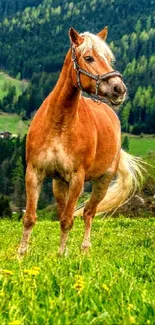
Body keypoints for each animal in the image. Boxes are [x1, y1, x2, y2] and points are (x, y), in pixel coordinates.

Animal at [18, 27, 143, 256]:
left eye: (108, 59)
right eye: (89, 58)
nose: (119, 89)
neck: (59, 124)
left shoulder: (77, 179)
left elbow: (68, 220)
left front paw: (60, 256)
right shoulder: (34, 173)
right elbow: (30, 218)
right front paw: (21, 255)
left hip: (102, 181)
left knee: (88, 213)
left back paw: (84, 249)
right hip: (59, 184)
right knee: (65, 210)